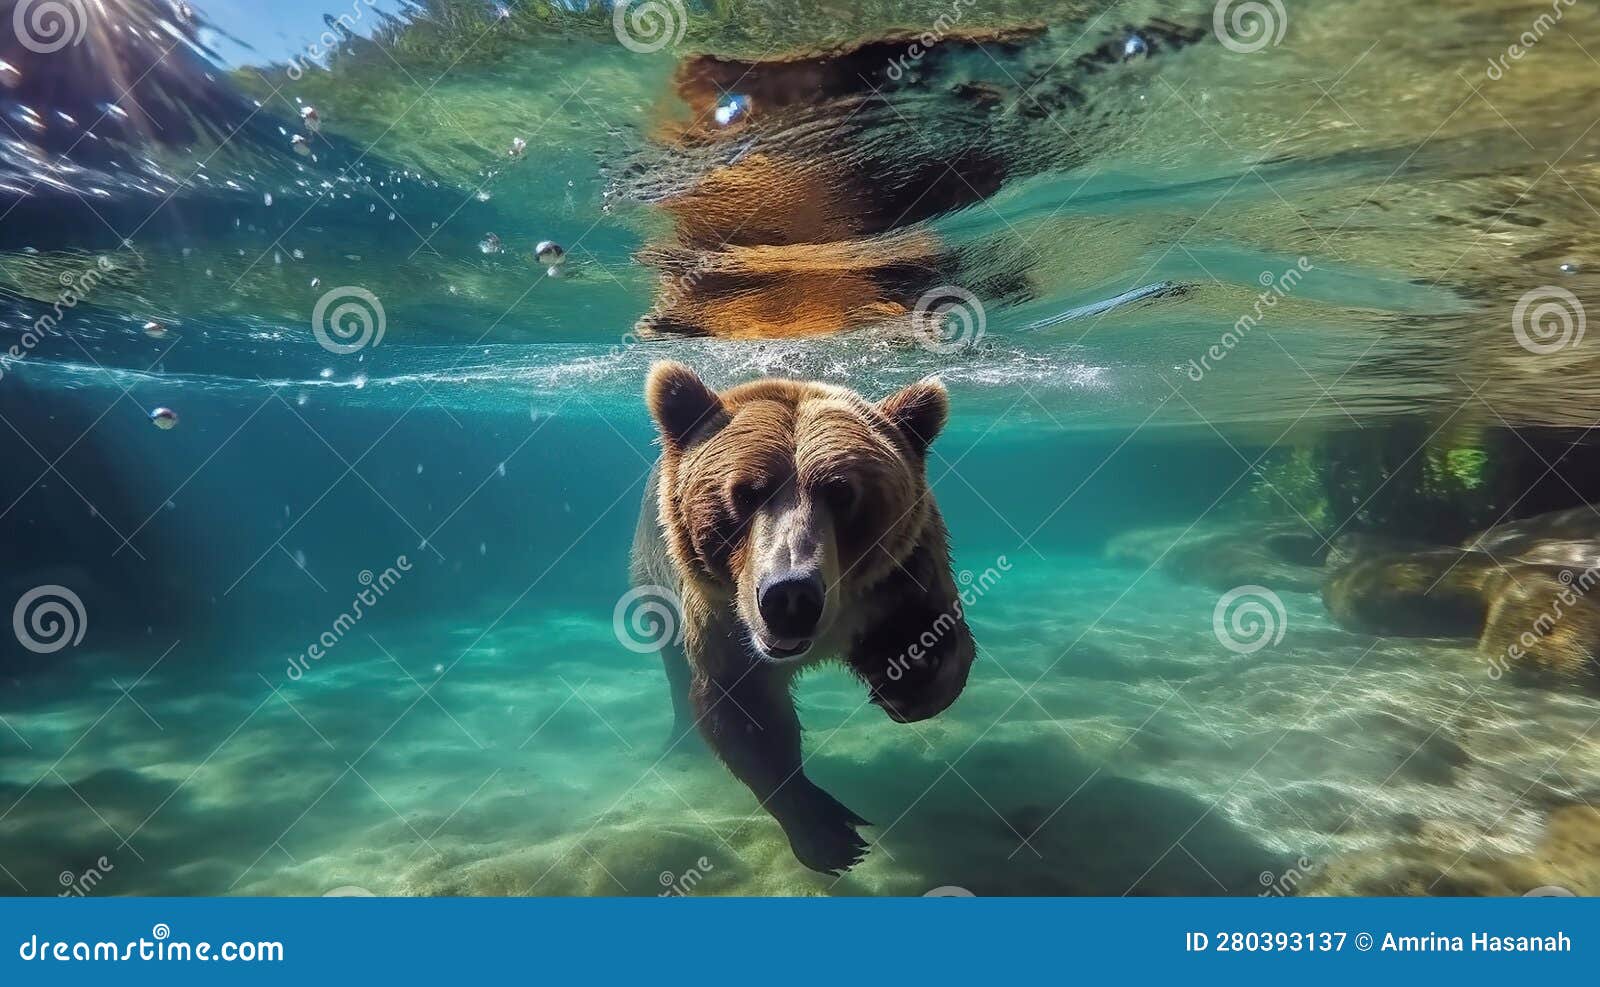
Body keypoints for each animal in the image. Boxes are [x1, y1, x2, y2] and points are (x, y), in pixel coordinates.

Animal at [631, 361, 975, 873]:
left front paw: (901, 682)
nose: (790, 596)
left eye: (842, 493)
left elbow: (938, 633)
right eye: (745, 494)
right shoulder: (724, 621)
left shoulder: (907, 569)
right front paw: (829, 836)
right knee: (673, 667)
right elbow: (745, 714)